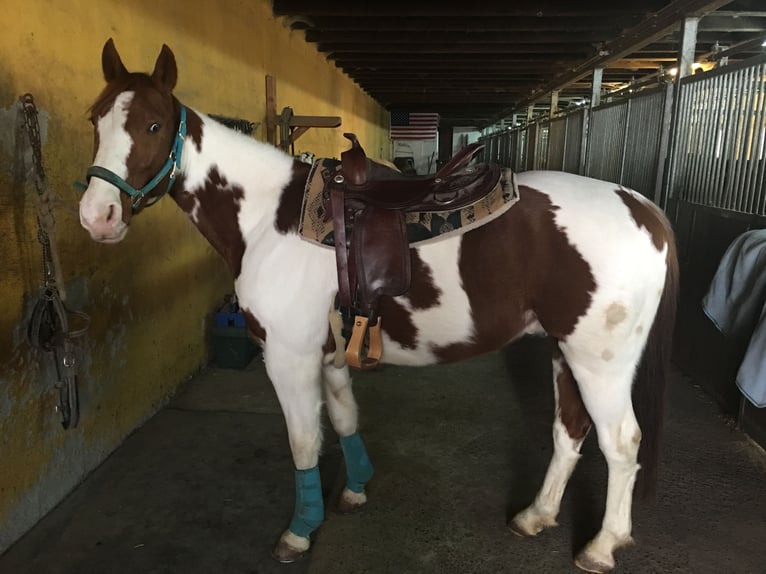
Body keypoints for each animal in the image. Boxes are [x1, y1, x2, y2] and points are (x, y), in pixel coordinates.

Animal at [78, 40, 680, 574]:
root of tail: (639, 205)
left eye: (154, 126)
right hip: (564, 351)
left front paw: (300, 531)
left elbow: (303, 442)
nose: (97, 216)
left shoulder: (288, 358)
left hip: (600, 363)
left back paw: (601, 546)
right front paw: (356, 490)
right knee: (569, 431)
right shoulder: (327, 354)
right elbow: (345, 417)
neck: (270, 218)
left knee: (621, 443)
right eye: (94, 120)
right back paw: (535, 516)